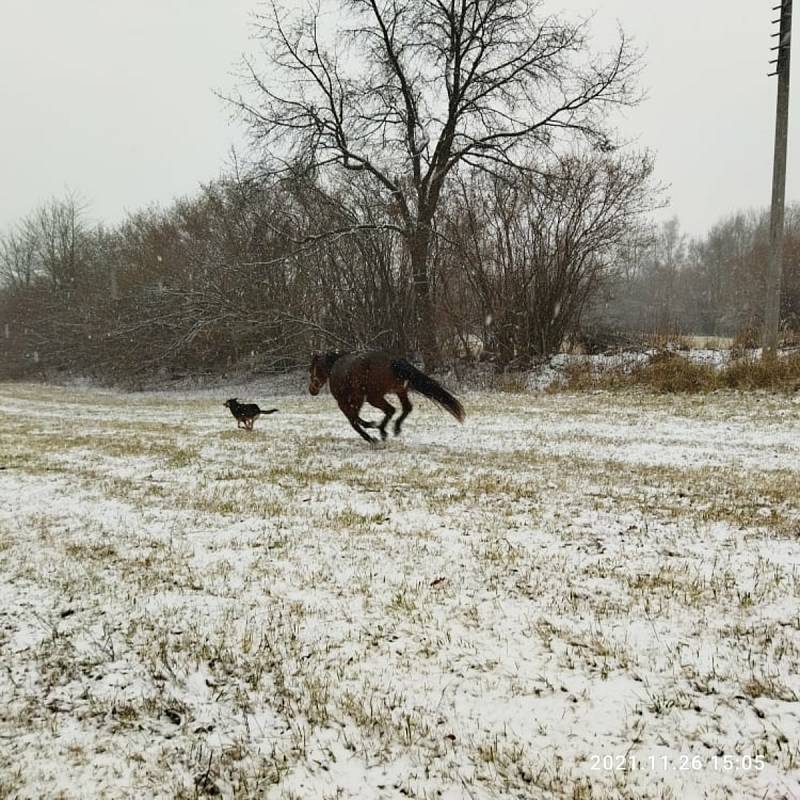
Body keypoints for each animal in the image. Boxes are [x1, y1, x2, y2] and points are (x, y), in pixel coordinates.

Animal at [310, 352, 466, 444]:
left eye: (312, 370)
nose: (312, 390)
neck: (333, 367)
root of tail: (392, 361)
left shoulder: (344, 402)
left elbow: (354, 421)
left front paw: (370, 434)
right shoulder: (357, 400)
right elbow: (356, 419)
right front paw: (371, 428)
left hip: (375, 397)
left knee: (391, 410)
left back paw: (382, 431)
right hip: (399, 390)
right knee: (405, 408)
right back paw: (394, 429)